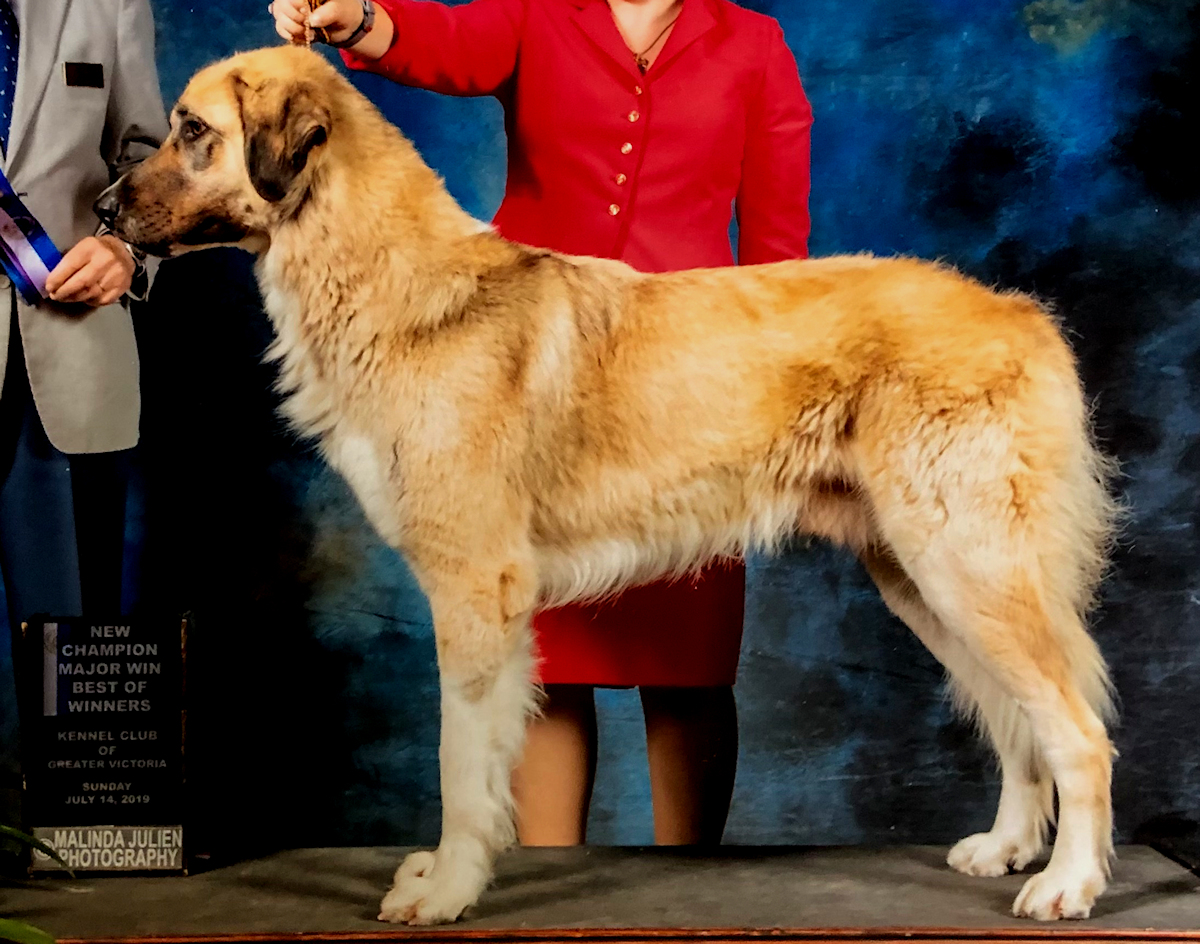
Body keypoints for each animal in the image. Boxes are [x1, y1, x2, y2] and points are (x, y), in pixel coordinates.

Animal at [98, 47, 1118, 926]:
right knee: (1017, 719)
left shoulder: (475, 588)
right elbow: (489, 760)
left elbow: (459, 760)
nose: (102, 209)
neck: (392, 282)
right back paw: (1007, 847)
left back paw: (1067, 884)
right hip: (921, 576)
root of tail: (1020, 313)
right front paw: (450, 874)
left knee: (1074, 729)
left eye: (194, 131)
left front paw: (447, 891)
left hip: (968, 563)